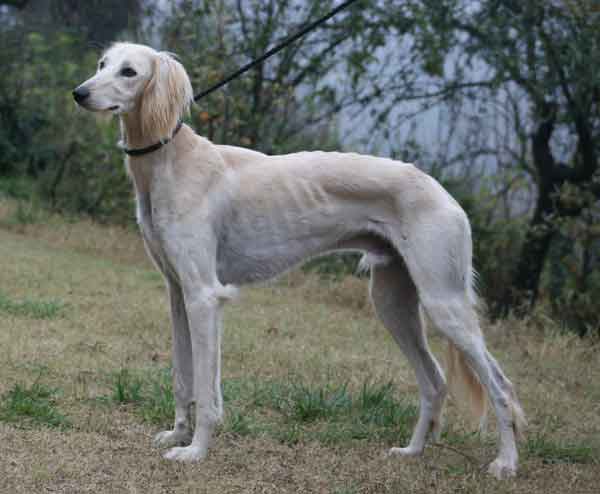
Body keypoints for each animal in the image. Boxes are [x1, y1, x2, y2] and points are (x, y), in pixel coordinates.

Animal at [73, 42, 525, 479]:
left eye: (129, 72)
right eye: (101, 64)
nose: (79, 93)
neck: (170, 162)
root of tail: (444, 193)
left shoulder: (203, 296)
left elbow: (205, 386)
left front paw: (196, 451)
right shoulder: (177, 292)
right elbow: (183, 377)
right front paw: (177, 434)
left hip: (443, 300)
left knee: (501, 386)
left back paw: (506, 463)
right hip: (393, 301)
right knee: (434, 381)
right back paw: (412, 451)